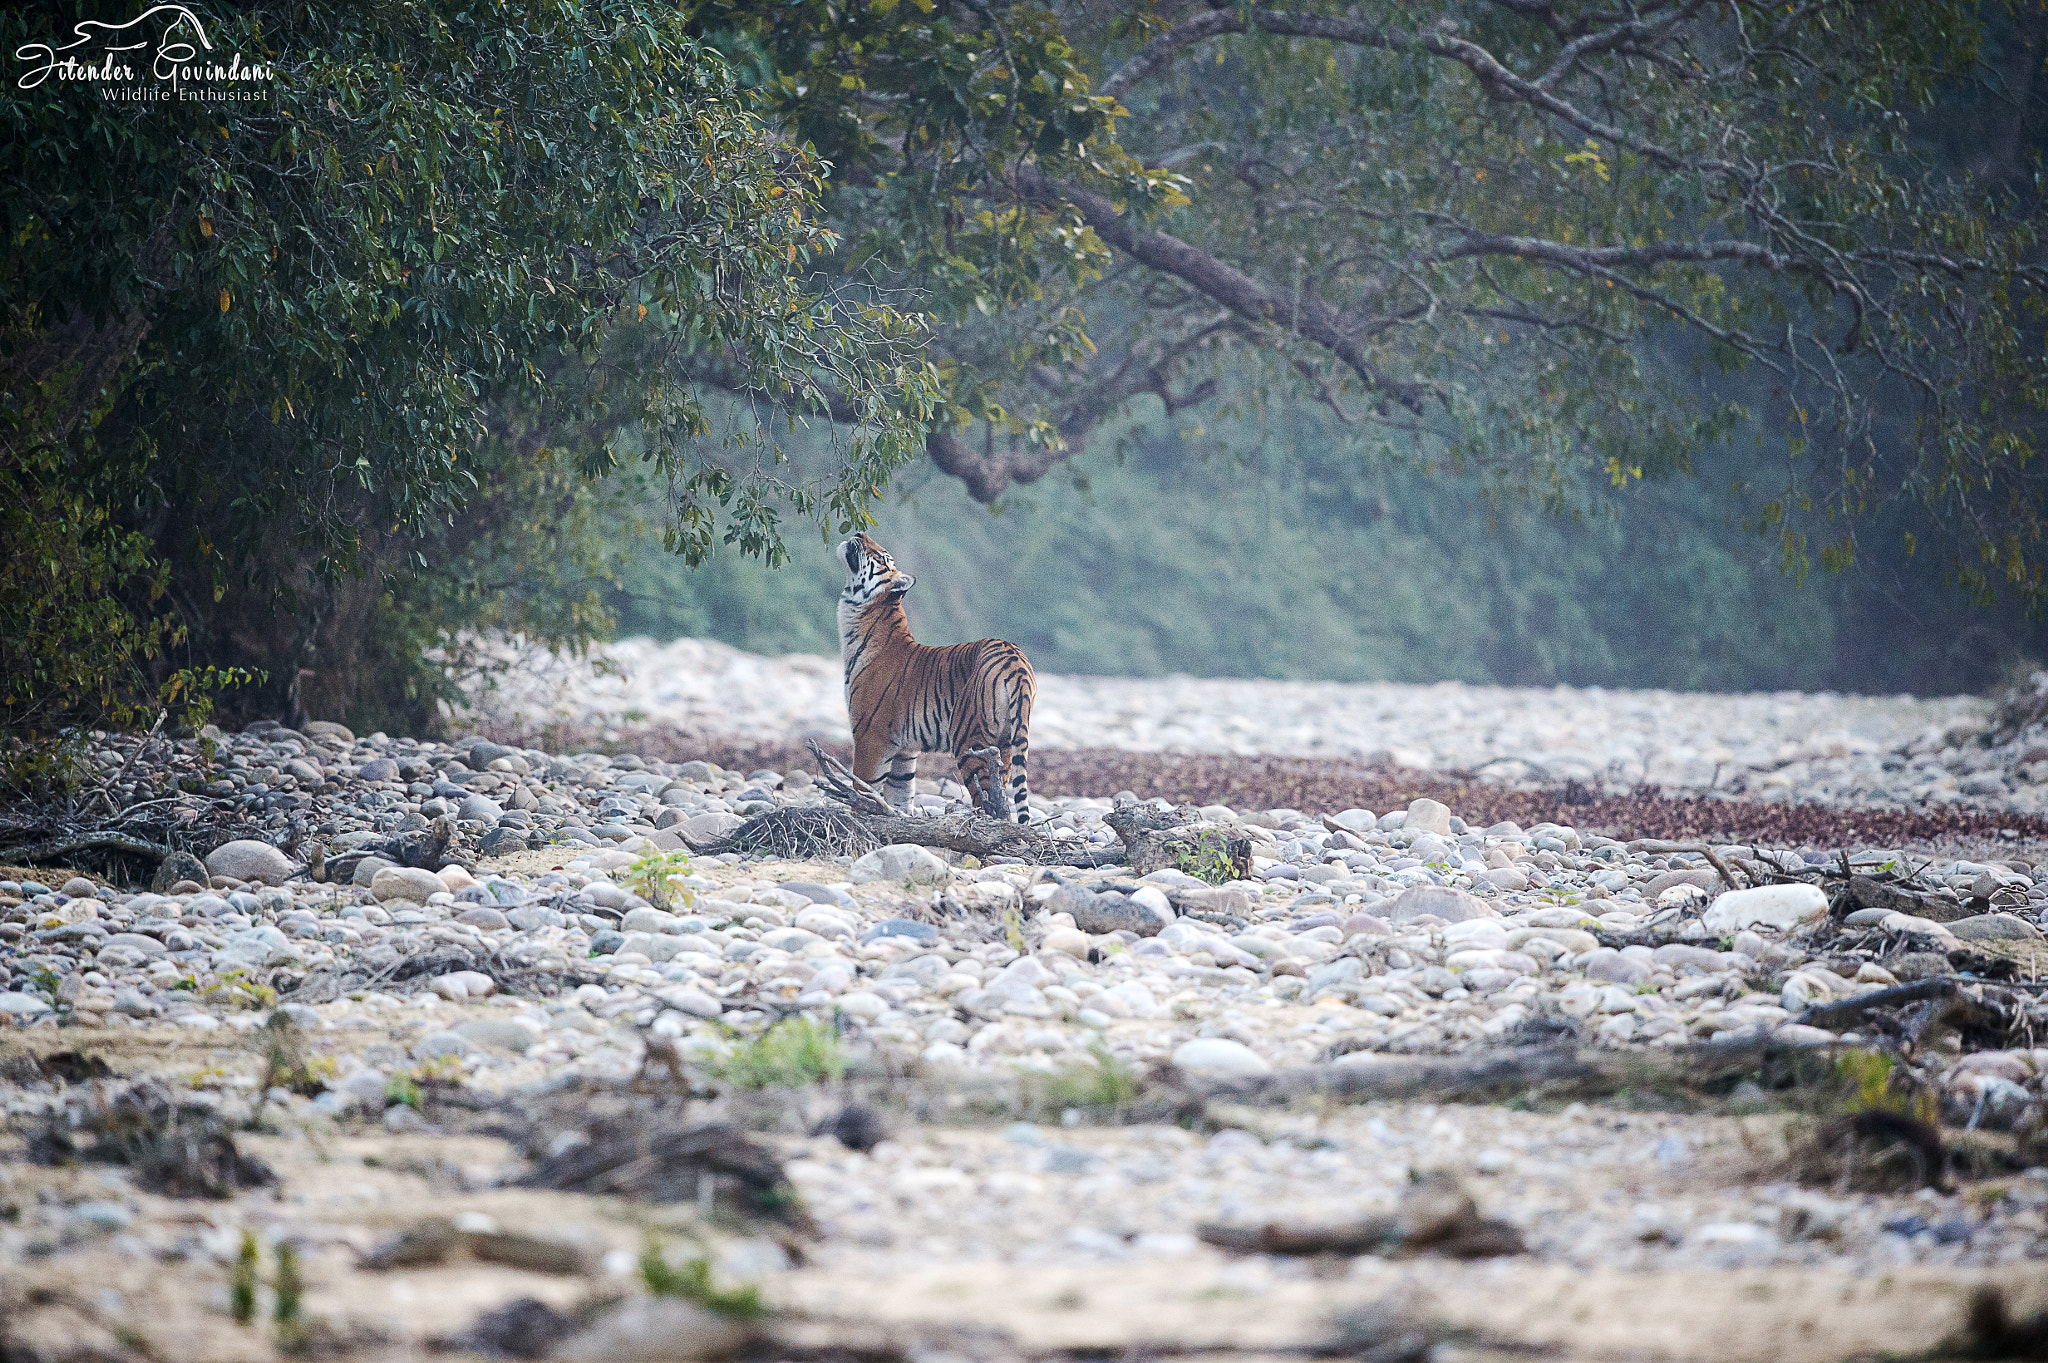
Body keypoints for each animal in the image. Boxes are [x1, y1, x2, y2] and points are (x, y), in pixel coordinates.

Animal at [839, 532, 1040, 822]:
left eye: (882, 556)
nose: (859, 533)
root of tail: (1016, 660)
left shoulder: (871, 737)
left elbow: (863, 789)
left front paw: (858, 819)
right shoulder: (904, 751)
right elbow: (900, 796)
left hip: (968, 740)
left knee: (988, 799)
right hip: (1005, 743)